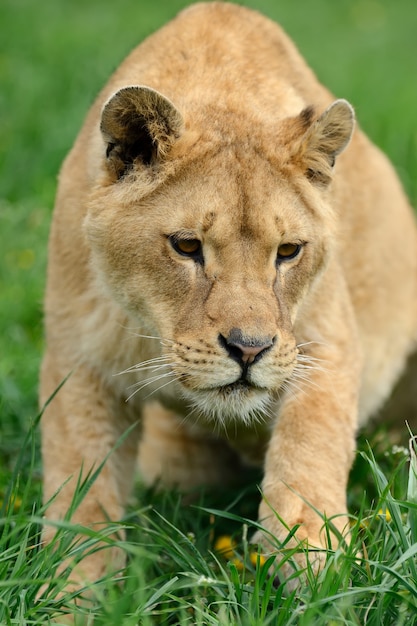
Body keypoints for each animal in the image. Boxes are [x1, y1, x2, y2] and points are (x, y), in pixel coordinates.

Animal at [39, 0, 416, 584]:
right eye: (187, 246)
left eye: (288, 251)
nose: (249, 350)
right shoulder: (78, 355)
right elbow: (81, 486)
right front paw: (74, 588)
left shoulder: (325, 341)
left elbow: (311, 442)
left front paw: (312, 561)